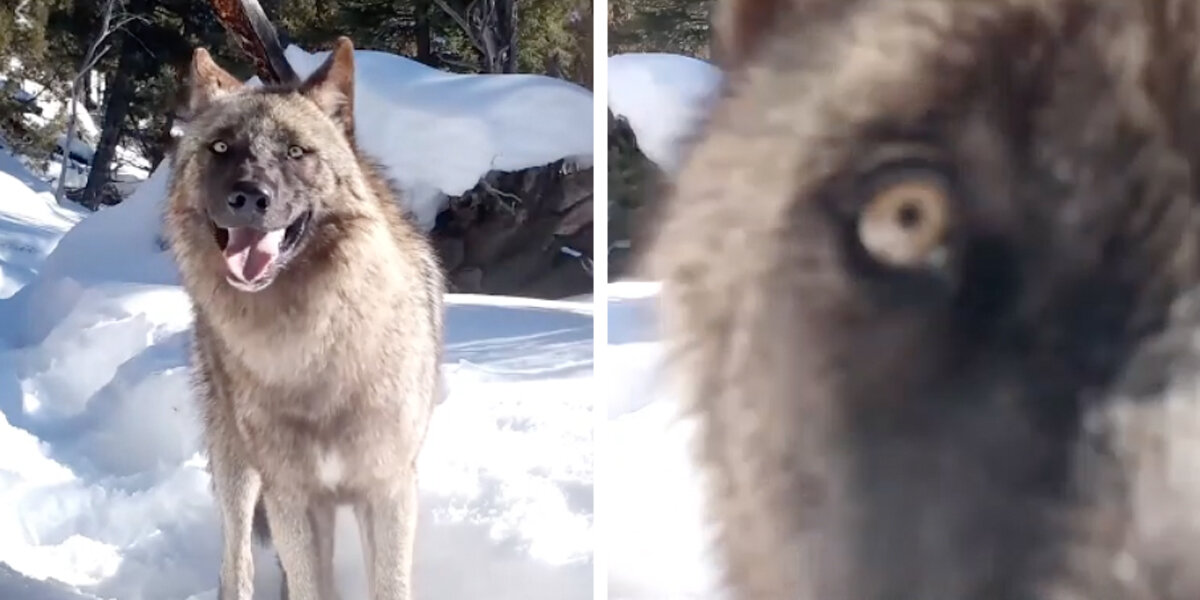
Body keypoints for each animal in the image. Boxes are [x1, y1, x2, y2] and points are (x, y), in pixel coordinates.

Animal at [163, 33, 444, 600]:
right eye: (221, 148)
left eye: (296, 151)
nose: (249, 197)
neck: (311, 352)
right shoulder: (290, 495)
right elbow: (304, 582)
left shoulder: (387, 489)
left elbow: (388, 584)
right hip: (238, 470)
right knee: (236, 564)